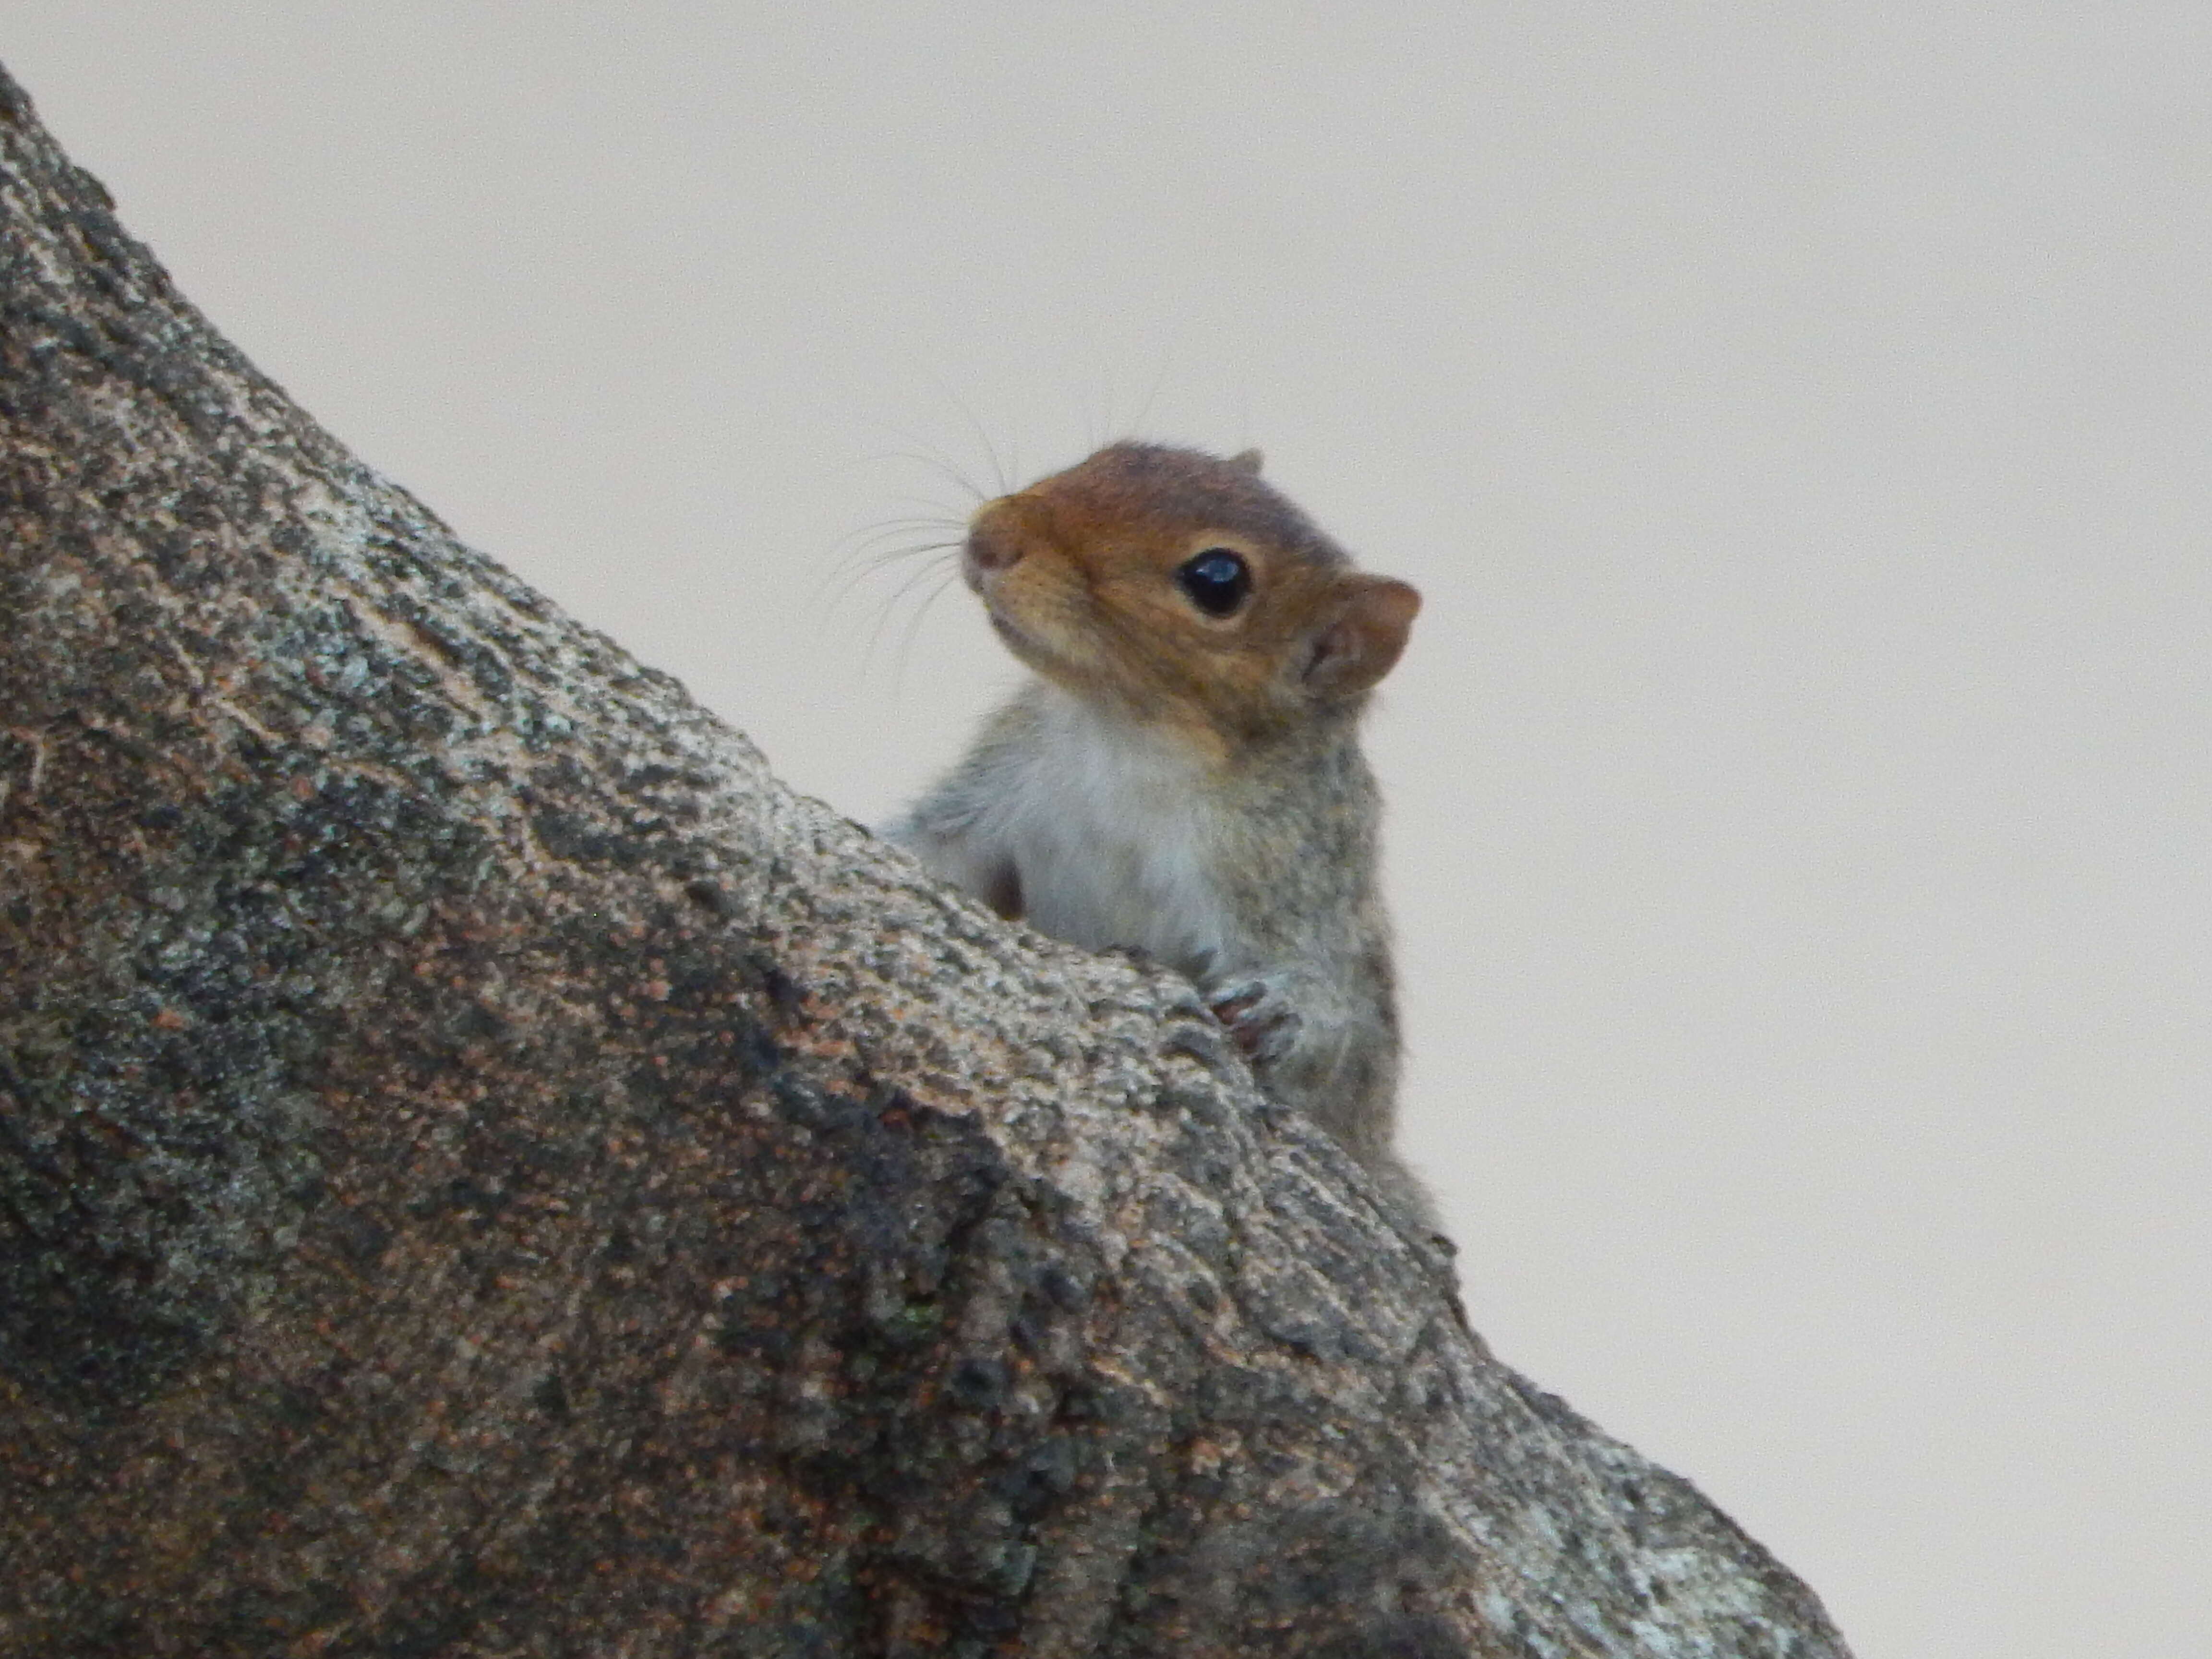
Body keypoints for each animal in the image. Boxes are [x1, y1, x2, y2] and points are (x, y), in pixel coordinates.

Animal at [885, 438, 1433, 1221]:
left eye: (1218, 580)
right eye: (1113, 454)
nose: (991, 538)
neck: (1132, 741)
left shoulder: (1289, 871)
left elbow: (1341, 1037)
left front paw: (1278, 1015)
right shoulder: (996, 789)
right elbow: (938, 855)